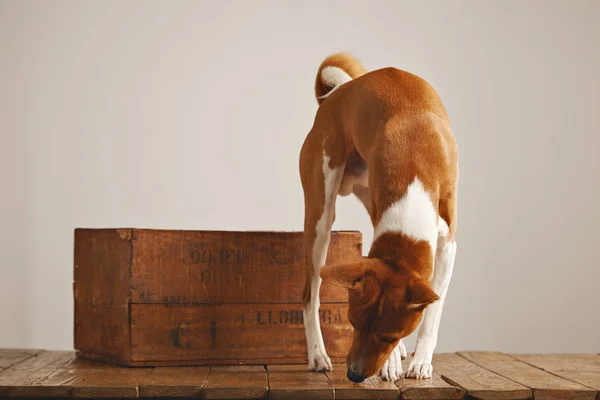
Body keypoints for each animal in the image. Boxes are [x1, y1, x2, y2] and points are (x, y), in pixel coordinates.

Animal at [300, 53, 460, 382]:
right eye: (353, 323)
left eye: (389, 336)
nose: (354, 375)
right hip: (320, 219)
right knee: (310, 295)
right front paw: (391, 364)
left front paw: (420, 361)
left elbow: (432, 315)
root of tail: (335, 94)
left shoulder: (448, 245)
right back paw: (317, 355)